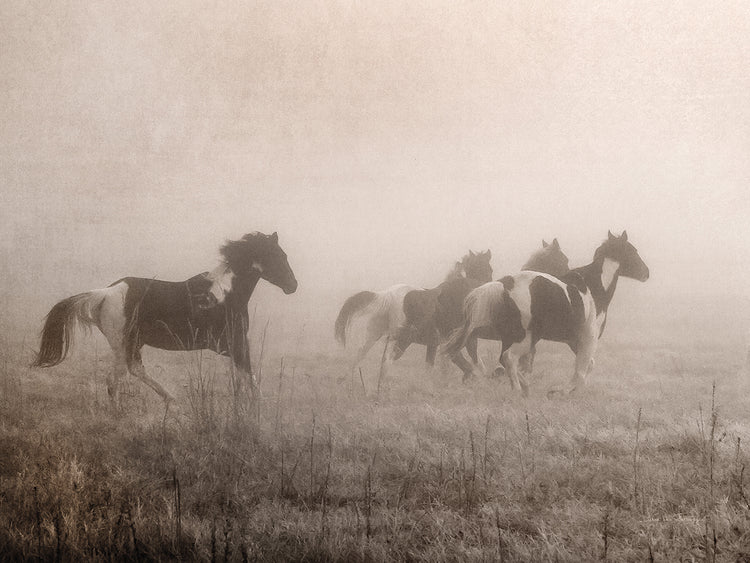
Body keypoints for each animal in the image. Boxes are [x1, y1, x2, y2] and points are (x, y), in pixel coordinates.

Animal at [32, 231, 297, 406]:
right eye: (280, 256)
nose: (293, 286)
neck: (224, 294)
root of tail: (104, 293)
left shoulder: (232, 346)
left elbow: (242, 378)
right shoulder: (237, 343)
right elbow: (250, 376)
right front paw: (258, 408)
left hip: (130, 344)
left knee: (126, 373)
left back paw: (165, 399)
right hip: (124, 343)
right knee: (121, 375)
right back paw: (153, 402)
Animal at [334, 250, 493, 378]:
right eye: (489, 269)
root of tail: (386, 296)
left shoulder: (434, 343)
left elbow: (431, 367)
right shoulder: (466, 340)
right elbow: (474, 363)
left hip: (373, 334)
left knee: (359, 356)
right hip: (402, 339)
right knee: (386, 362)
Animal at [443, 231, 649, 395]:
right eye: (633, 251)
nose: (646, 273)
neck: (594, 288)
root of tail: (504, 284)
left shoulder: (574, 340)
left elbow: (587, 364)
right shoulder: (589, 337)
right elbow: (581, 370)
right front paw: (564, 392)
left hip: (512, 336)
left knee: (502, 359)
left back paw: (522, 387)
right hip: (523, 337)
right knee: (508, 358)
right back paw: (518, 390)